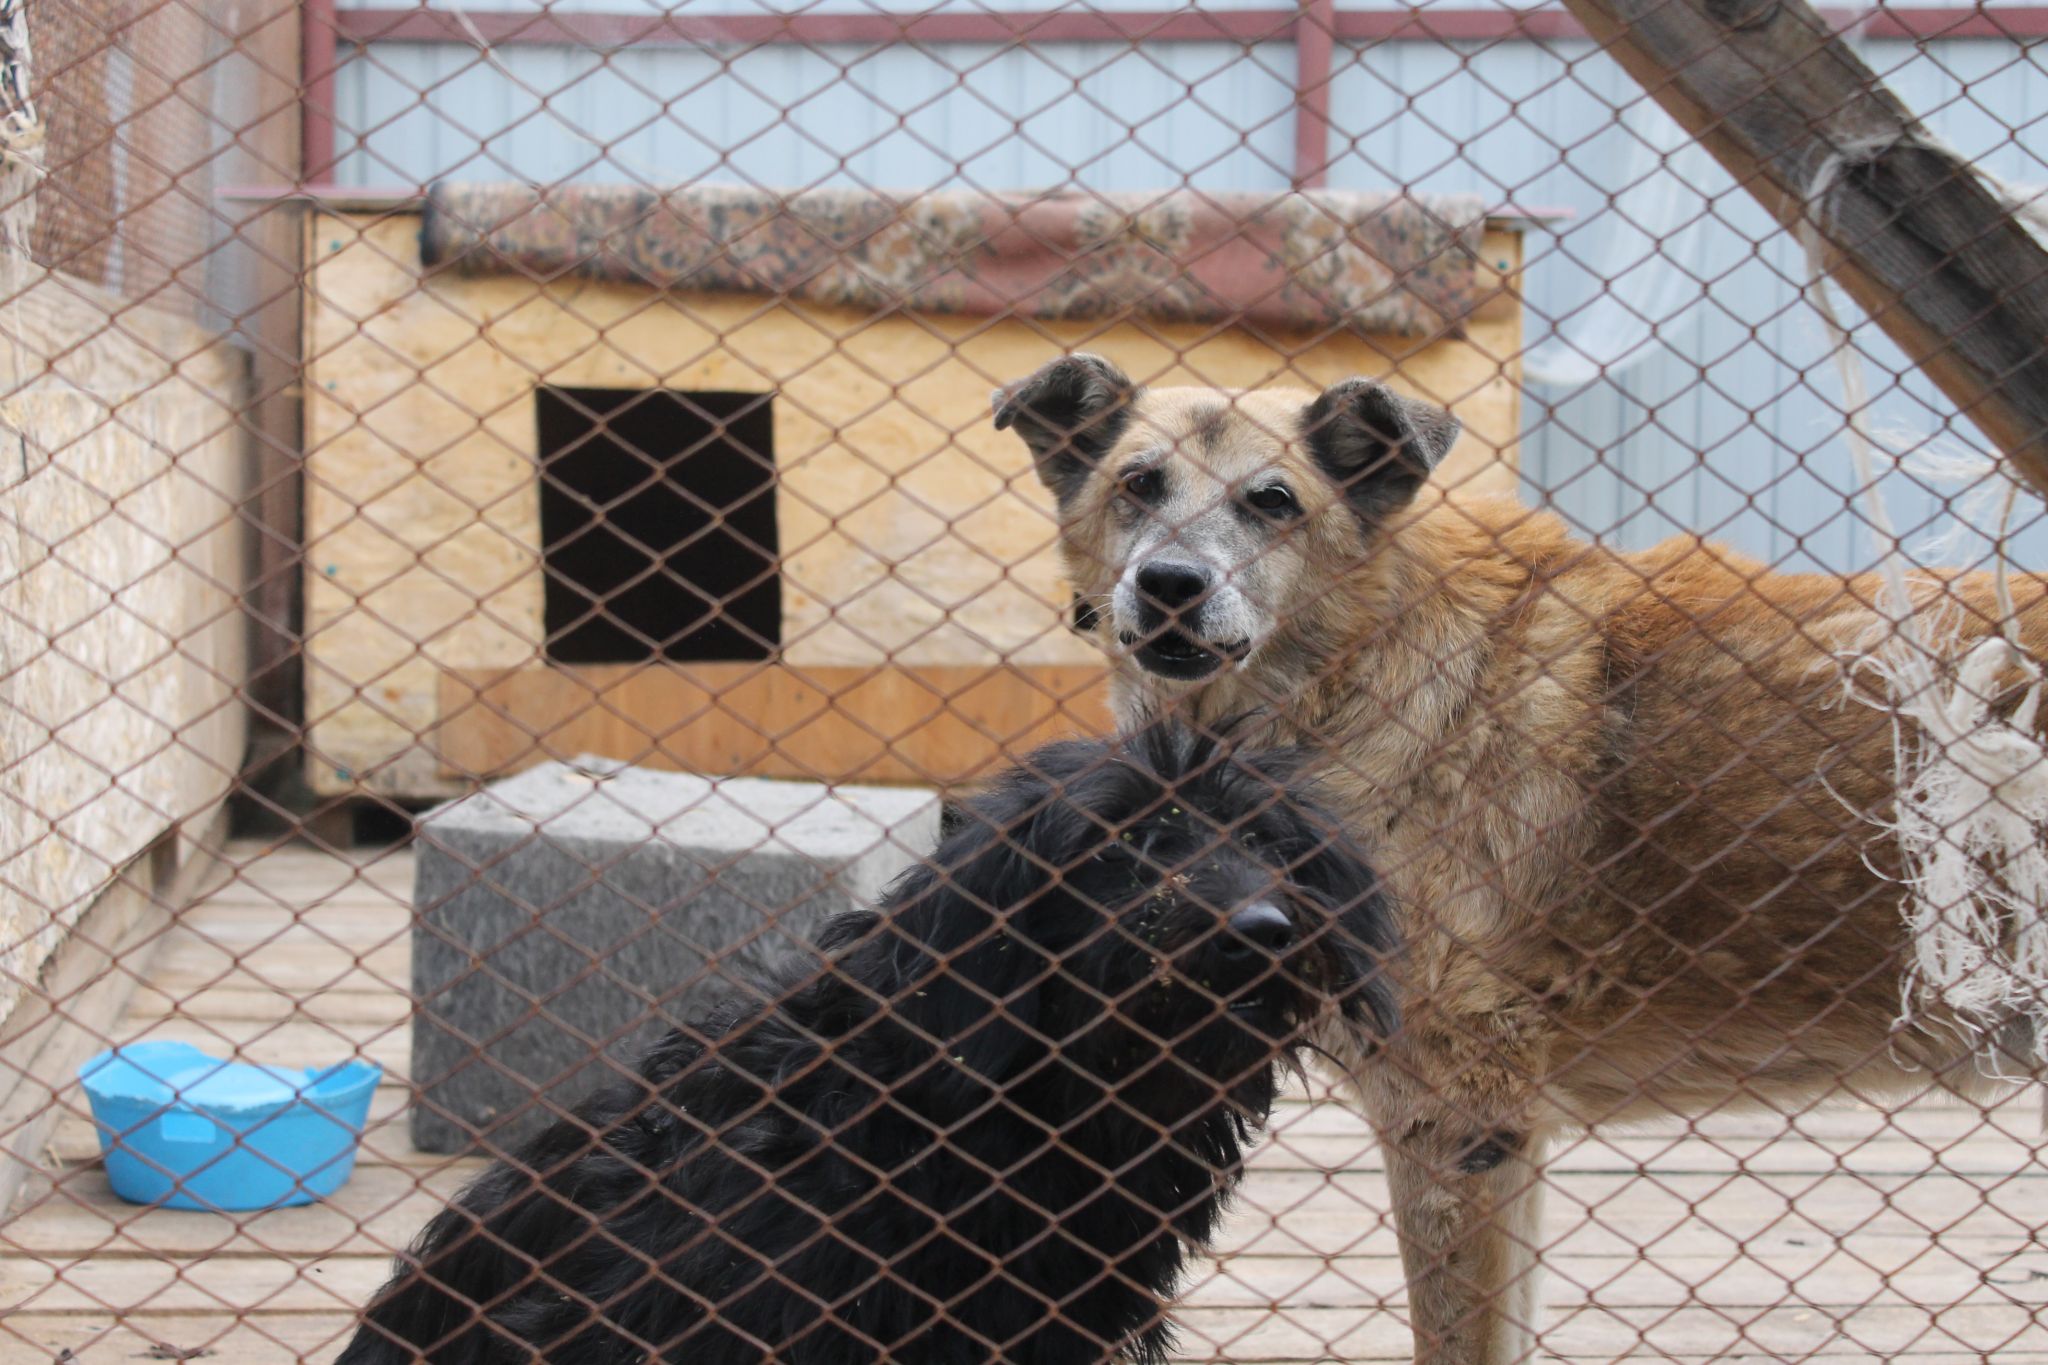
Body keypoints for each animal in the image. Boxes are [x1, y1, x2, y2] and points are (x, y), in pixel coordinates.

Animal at [995, 356, 2048, 1365]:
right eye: (1137, 483)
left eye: (1273, 500)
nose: (1170, 583)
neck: (1364, 665)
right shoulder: (1512, 1143)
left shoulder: (1458, 1129)